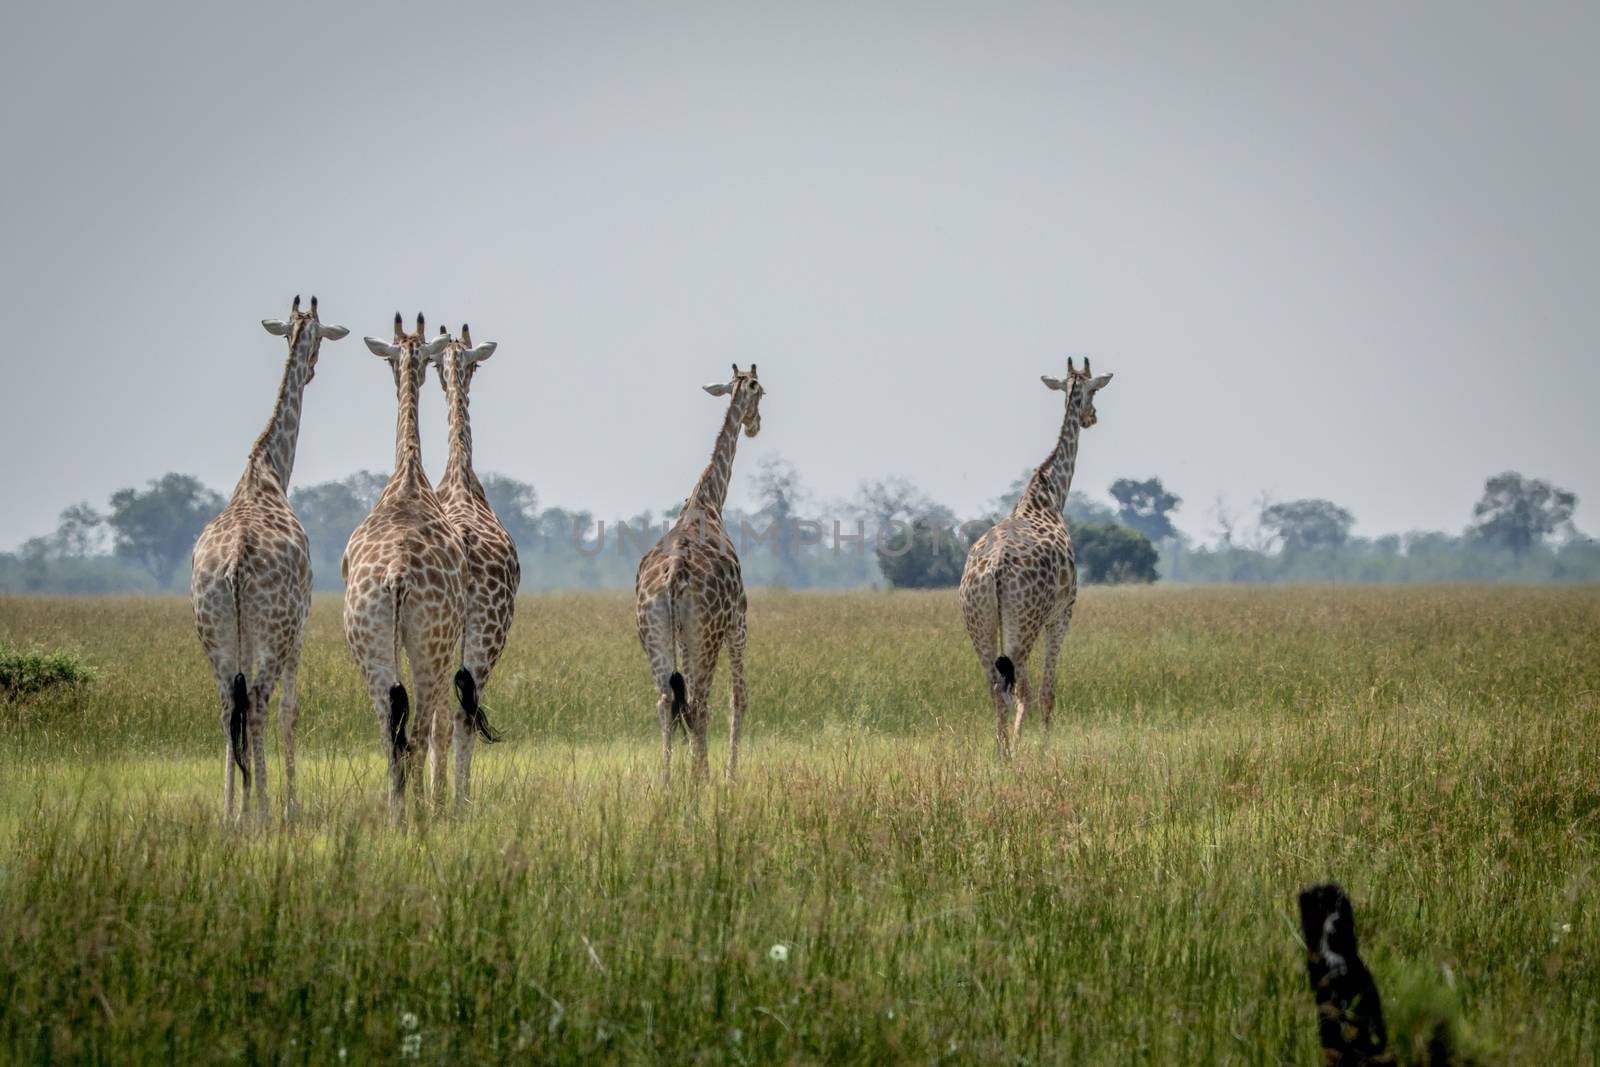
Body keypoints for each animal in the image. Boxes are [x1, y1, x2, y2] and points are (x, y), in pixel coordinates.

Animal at [192, 295, 348, 825]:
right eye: (319, 337)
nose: (314, 368)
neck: (270, 471)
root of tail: (236, 563)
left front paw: (237, 804)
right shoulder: (301, 624)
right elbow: (290, 709)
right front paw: (289, 804)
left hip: (214, 628)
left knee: (228, 704)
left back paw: (231, 811)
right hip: (274, 630)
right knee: (259, 700)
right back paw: (260, 808)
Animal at [342, 313, 480, 812]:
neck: (408, 477)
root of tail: (398, 575)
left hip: (370, 642)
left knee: (394, 733)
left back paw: (399, 811)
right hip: (426, 646)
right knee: (417, 731)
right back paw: (416, 813)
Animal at [633, 363, 764, 780]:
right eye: (761, 392)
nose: (755, 425)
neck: (708, 501)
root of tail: (675, 575)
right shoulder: (738, 622)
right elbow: (739, 697)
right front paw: (730, 774)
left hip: (655, 631)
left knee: (666, 701)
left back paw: (667, 779)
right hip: (702, 634)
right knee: (697, 702)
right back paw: (700, 777)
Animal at [960, 358, 1113, 758]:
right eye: (1094, 390)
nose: (1092, 417)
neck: (1050, 494)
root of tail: (993, 570)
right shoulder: (1062, 613)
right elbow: (1048, 692)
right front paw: (1044, 750)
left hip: (979, 623)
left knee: (995, 687)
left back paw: (1001, 752)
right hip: (1023, 623)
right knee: (1019, 689)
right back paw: (1013, 751)